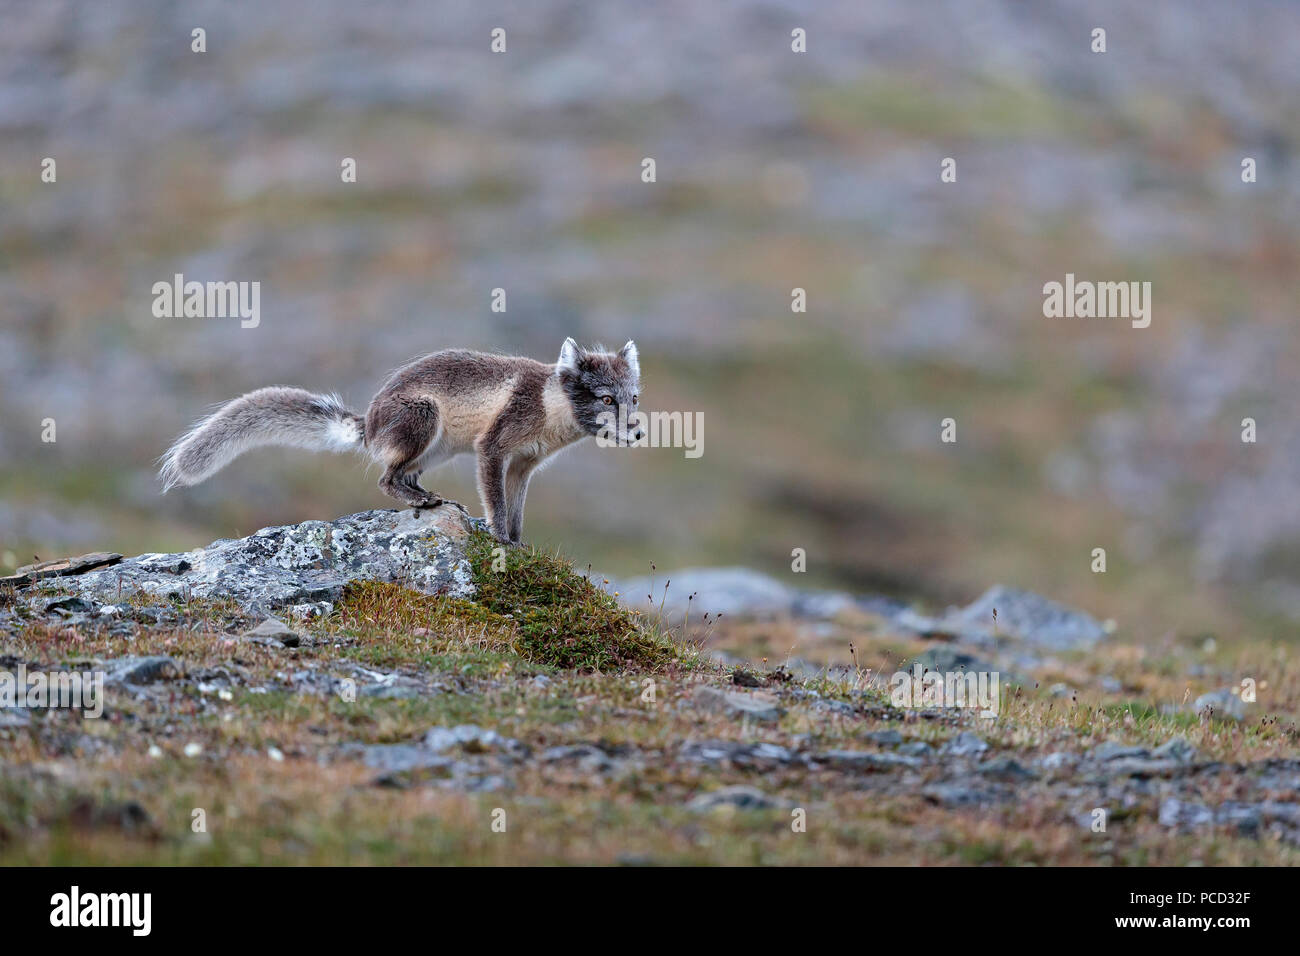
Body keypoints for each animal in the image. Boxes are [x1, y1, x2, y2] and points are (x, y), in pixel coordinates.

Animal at [161, 340, 644, 541]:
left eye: (634, 397)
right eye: (606, 398)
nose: (640, 431)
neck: (548, 407)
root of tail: (369, 423)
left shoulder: (524, 464)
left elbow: (517, 510)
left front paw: (520, 544)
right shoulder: (493, 448)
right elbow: (496, 504)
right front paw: (502, 543)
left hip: (436, 449)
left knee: (402, 476)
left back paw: (431, 499)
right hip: (424, 418)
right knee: (385, 480)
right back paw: (423, 501)